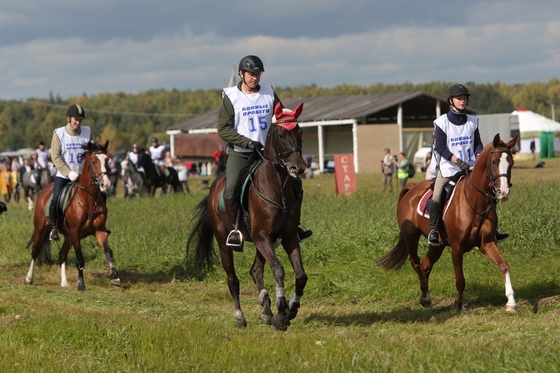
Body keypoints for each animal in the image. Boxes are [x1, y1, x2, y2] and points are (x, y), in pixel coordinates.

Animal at [24, 141, 120, 290]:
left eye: (107, 160)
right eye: (93, 161)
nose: (106, 184)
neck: (89, 200)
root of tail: (44, 191)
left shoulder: (99, 231)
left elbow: (108, 252)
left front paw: (115, 277)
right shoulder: (75, 233)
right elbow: (80, 259)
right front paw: (81, 284)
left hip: (67, 236)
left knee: (62, 254)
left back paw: (64, 282)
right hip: (41, 228)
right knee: (35, 251)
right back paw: (29, 278)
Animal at [188, 101, 310, 328]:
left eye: (300, 132)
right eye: (281, 135)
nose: (298, 167)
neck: (277, 189)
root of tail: (213, 188)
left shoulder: (288, 237)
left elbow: (300, 275)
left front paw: (291, 308)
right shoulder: (262, 237)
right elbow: (278, 269)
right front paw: (281, 310)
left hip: (266, 242)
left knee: (256, 270)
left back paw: (266, 310)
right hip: (225, 241)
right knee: (233, 279)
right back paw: (241, 316)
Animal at [374, 134, 520, 310]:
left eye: (511, 162)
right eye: (494, 162)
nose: (504, 192)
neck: (475, 202)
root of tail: (412, 188)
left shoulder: (487, 243)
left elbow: (504, 265)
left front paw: (511, 302)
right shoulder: (456, 248)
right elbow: (460, 280)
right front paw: (459, 307)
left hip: (439, 244)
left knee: (425, 265)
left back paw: (426, 297)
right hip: (411, 236)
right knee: (415, 263)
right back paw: (425, 297)